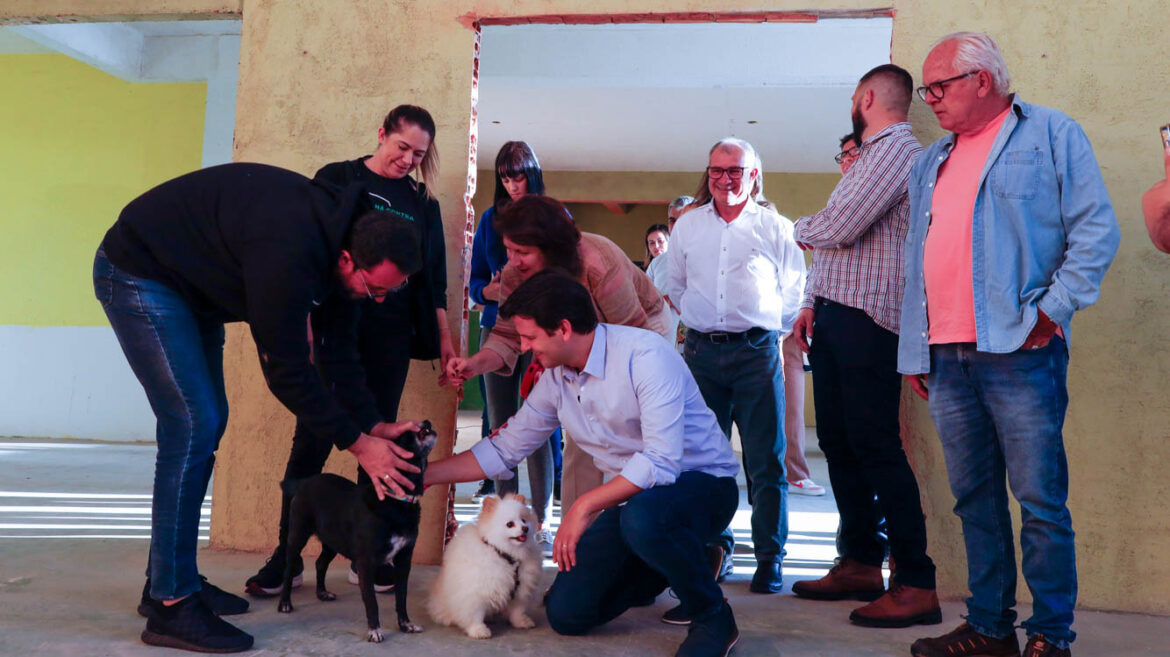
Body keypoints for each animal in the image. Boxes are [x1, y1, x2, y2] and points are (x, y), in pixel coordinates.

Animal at [278, 418, 439, 640]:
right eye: (405, 436)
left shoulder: (404, 560)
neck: (396, 500)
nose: (426, 421)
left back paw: (322, 593)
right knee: (288, 568)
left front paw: (405, 624)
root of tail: (304, 483)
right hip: (297, 536)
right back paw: (285, 602)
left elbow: (401, 597)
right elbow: (371, 601)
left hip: (333, 541)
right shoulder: (366, 562)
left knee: (320, 563)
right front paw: (374, 630)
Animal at [425, 493, 542, 635]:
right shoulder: (476, 593)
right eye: (510, 524)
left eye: (524, 520)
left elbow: (517, 610)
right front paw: (479, 630)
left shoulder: (521, 590)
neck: (506, 555)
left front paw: (521, 622)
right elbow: (475, 614)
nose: (525, 528)